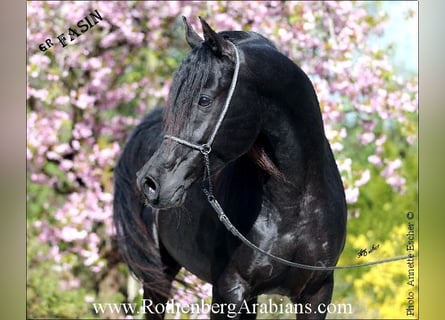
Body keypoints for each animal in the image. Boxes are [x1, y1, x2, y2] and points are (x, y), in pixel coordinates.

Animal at [112, 18, 346, 320]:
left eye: (204, 100)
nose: (150, 182)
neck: (295, 202)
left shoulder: (316, 293)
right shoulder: (230, 290)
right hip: (158, 277)